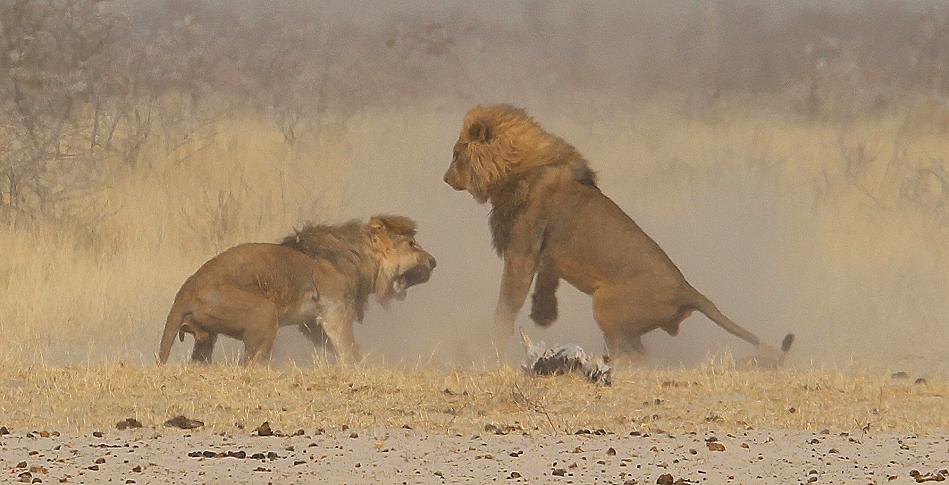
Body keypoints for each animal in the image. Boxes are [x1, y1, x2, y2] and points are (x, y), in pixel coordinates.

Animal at [157, 214, 436, 364]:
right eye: (412, 244)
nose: (434, 262)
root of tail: (184, 292)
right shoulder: (335, 309)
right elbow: (347, 347)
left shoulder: (312, 323)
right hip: (264, 312)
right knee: (249, 363)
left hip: (207, 338)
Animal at [442, 105, 792, 364]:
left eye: (457, 154)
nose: (445, 179)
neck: (515, 167)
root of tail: (687, 289)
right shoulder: (544, 255)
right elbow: (545, 283)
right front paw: (543, 315)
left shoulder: (521, 252)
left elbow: (506, 306)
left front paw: (495, 345)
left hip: (606, 305)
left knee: (638, 355)